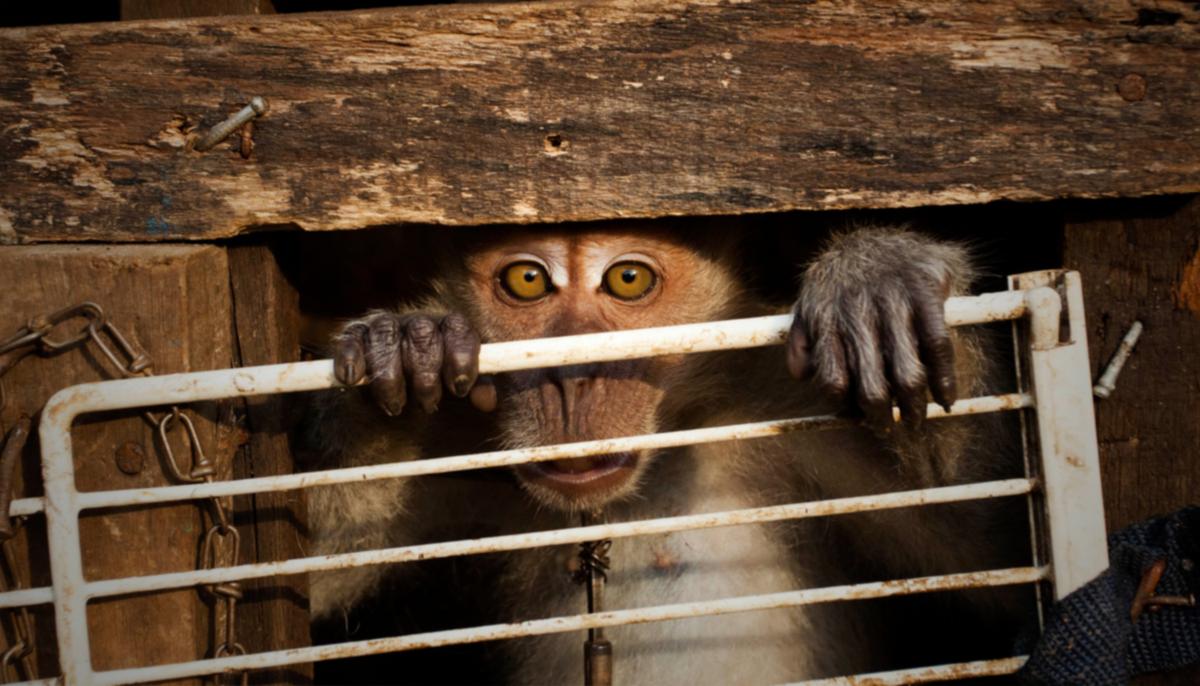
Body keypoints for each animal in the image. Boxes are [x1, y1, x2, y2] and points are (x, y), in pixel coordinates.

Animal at [302, 223, 1031, 684]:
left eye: (627, 279)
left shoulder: (792, 415)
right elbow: (301, 584)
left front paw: (880, 273)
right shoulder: (453, 450)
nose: (573, 379)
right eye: (527, 280)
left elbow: (997, 552)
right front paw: (401, 347)